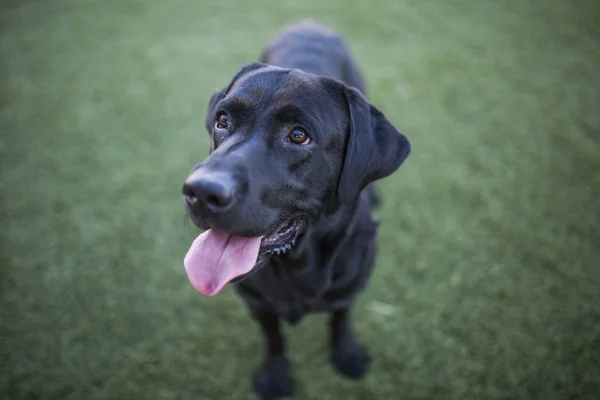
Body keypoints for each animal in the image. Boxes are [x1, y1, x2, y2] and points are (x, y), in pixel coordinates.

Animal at [180, 20, 410, 398]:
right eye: (222, 120)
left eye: (299, 135)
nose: (200, 192)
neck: (298, 263)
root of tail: (310, 23)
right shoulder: (258, 302)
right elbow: (273, 337)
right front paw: (274, 375)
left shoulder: (350, 286)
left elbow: (341, 319)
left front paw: (347, 354)